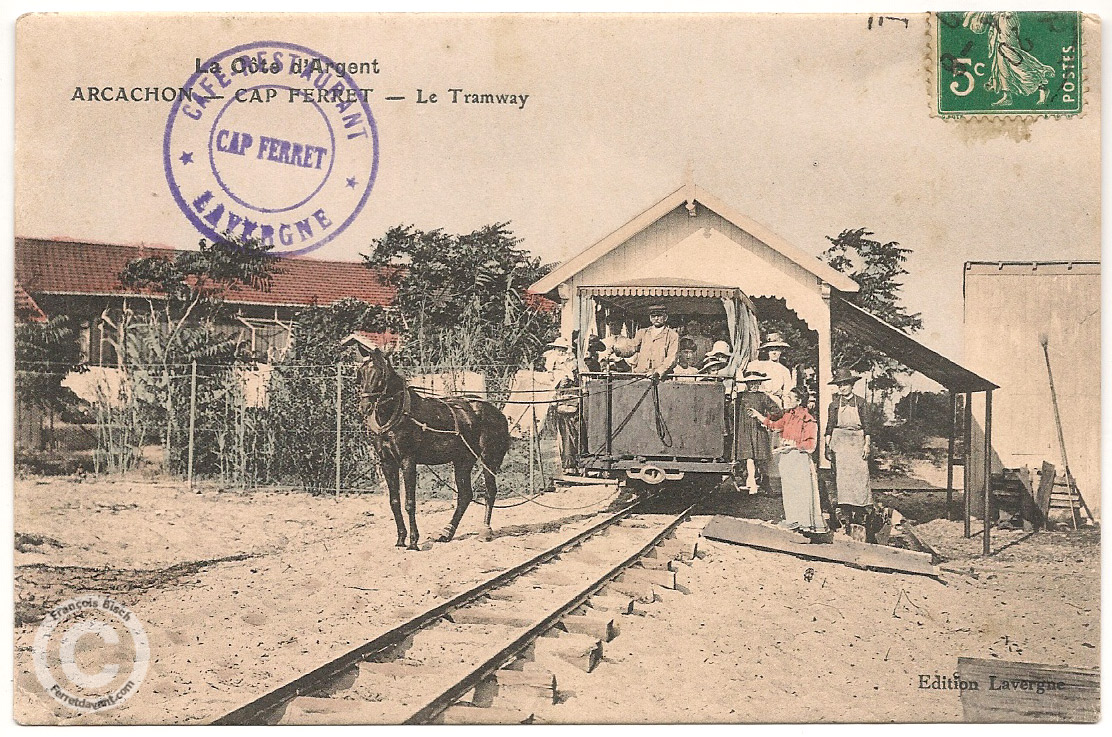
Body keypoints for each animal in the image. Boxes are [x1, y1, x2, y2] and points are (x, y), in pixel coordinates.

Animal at [355, 349, 511, 551]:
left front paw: (413, 542)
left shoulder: (408, 461)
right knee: (465, 495)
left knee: (490, 492)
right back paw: (446, 533)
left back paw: (485, 531)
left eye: (381, 373)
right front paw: (400, 539)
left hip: (488, 459)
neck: (398, 415)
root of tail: (498, 413)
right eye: (361, 372)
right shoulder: (387, 463)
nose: (364, 407)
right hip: (463, 461)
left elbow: (410, 503)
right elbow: (394, 502)